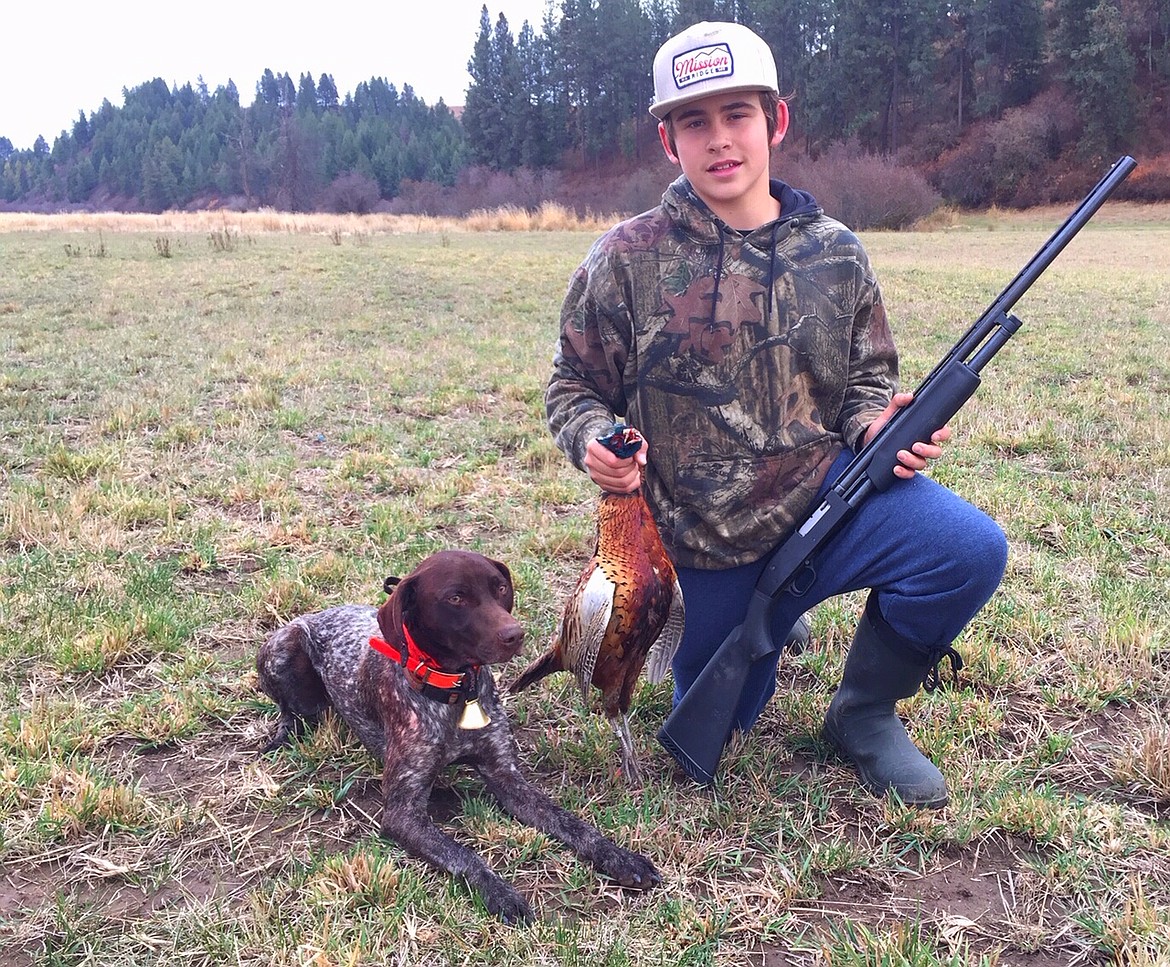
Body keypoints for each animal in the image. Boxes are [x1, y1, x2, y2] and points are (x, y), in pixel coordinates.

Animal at [255, 550, 659, 917]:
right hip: (281, 648)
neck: (454, 692)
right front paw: (500, 893)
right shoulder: (402, 812)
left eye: (500, 589)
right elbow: (463, 855)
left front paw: (619, 856)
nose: (515, 634)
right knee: (293, 709)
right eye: (455, 598)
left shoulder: (507, 777)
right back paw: (284, 734)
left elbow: (571, 823)